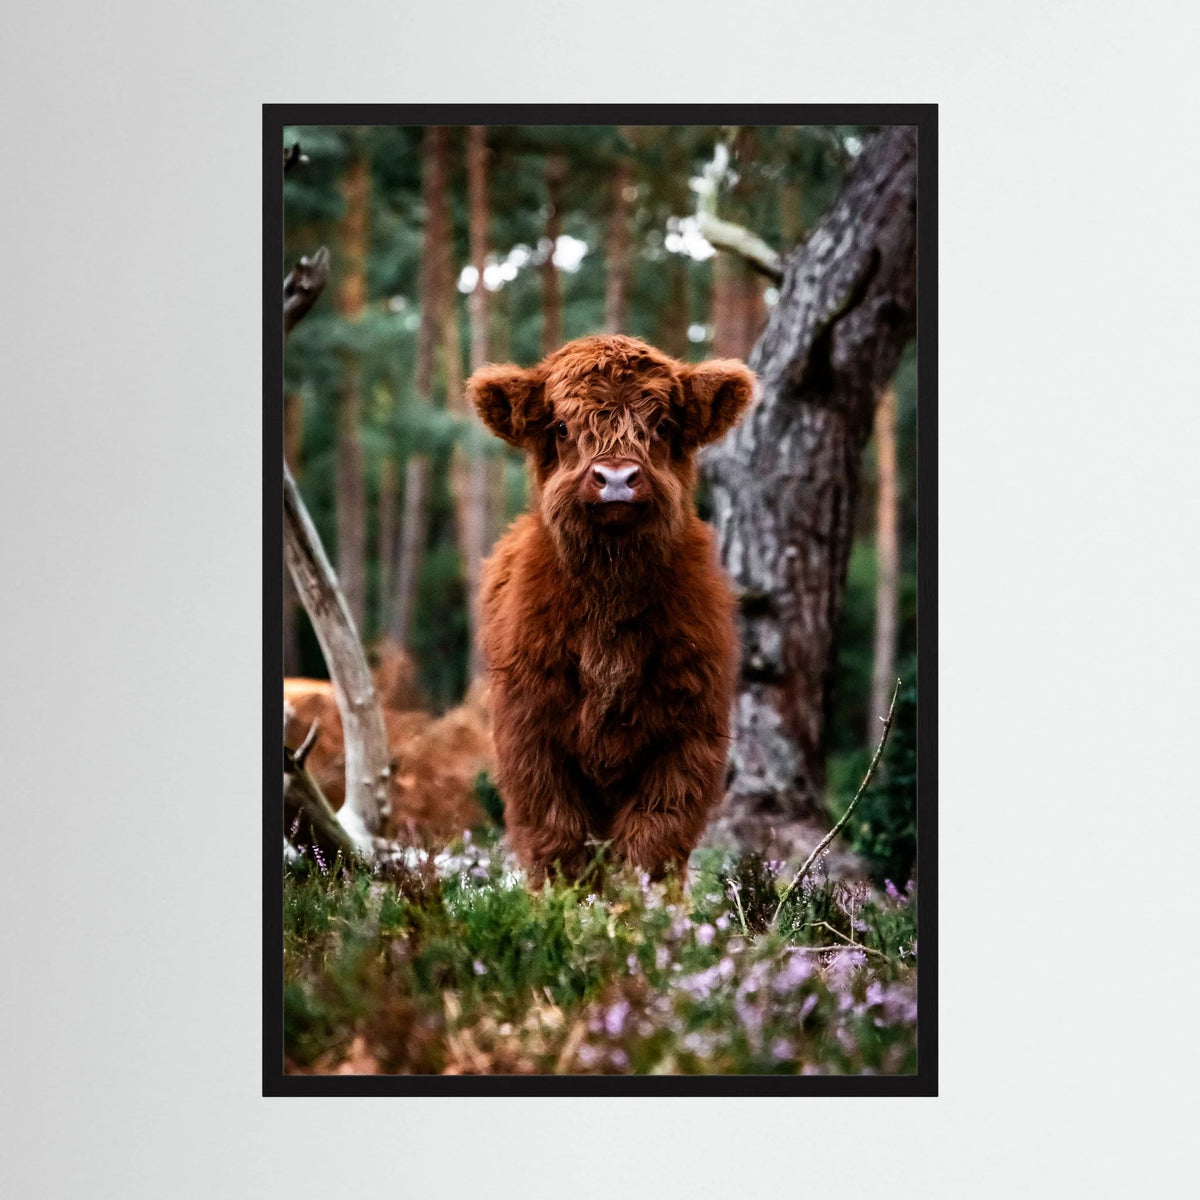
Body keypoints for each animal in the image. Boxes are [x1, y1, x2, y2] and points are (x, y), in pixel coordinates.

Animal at [467, 334, 755, 887]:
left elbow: (653, 841)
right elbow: (556, 838)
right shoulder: (531, 736)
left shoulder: (688, 739)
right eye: (561, 426)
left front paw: (642, 907)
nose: (616, 478)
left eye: (662, 425)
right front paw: (559, 904)